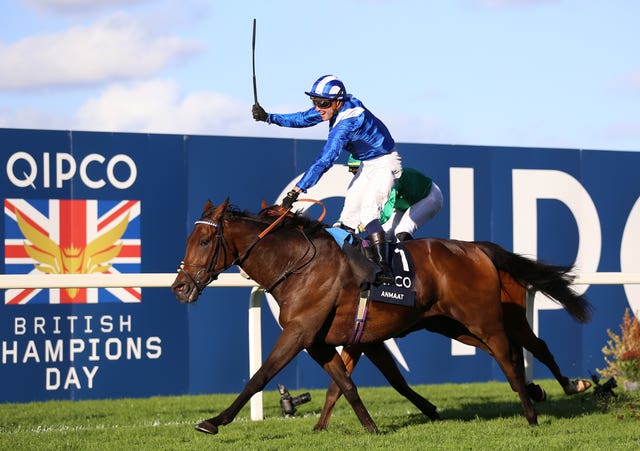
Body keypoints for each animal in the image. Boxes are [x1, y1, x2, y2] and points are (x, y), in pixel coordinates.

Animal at [170, 199, 592, 434]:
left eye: (204, 241)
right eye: (188, 240)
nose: (180, 287)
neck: (298, 266)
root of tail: (477, 249)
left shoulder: (299, 332)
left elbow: (260, 376)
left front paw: (214, 421)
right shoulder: (323, 340)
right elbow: (345, 383)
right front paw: (367, 427)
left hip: (483, 319)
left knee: (513, 356)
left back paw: (534, 411)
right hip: (453, 324)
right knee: (521, 350)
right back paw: (553, 389)